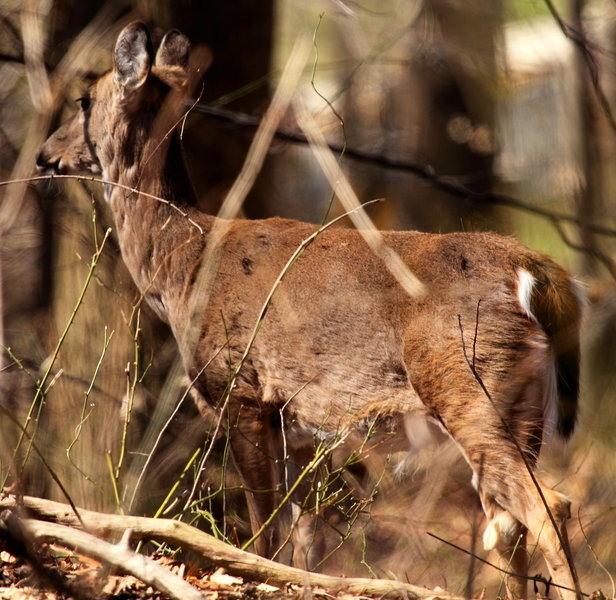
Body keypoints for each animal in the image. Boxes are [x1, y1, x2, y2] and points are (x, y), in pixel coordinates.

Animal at [36, 21, 584, 596]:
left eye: (83, 99)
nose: (43, 155)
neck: (182, 263)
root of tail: (533, 268)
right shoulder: (298, 422)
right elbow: (304, 536)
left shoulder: (240, 389)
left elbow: (263, 528)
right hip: (522, 403)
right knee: (507, 520)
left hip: (467, 380)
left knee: (548, 506)